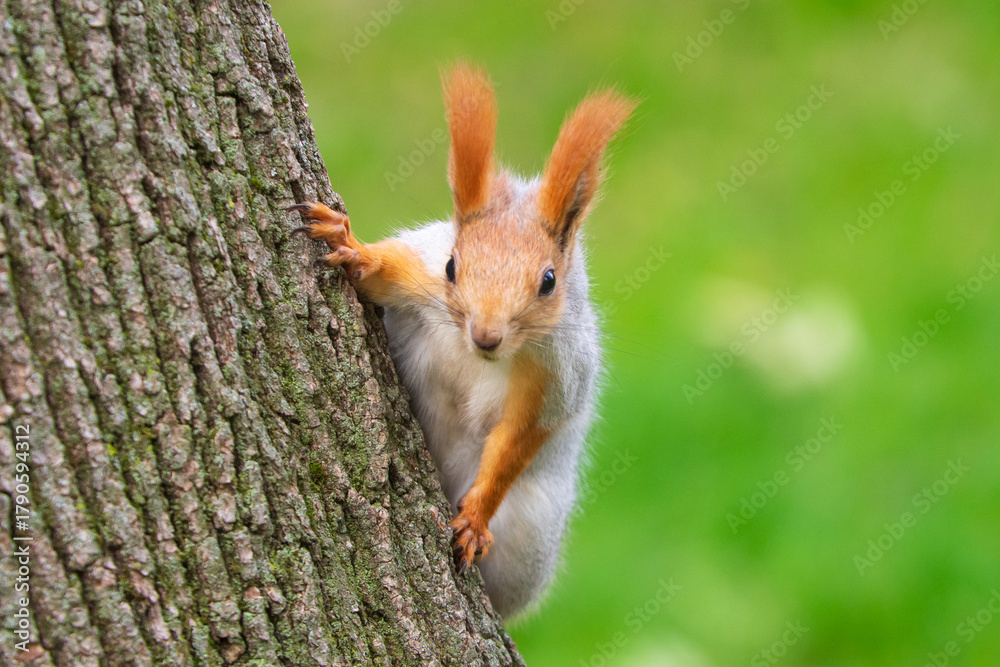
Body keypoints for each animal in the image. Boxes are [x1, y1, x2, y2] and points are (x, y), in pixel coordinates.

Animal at [290, 63, 634, 618]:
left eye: (549, 281)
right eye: (453, 265)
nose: (486, 335)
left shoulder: (559, 375)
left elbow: (517, 441)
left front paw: (474, 519)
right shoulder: (420, 277)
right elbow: (377, 276)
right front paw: (349, 245)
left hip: (531, 534)